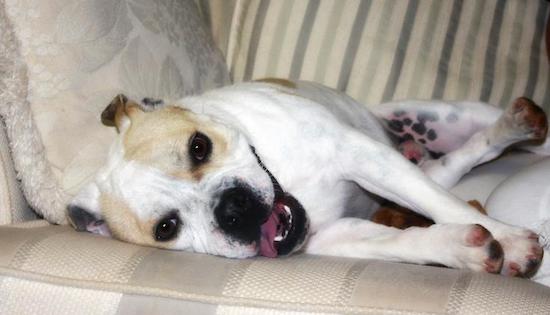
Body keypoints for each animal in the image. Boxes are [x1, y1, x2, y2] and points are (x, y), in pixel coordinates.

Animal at [68, 79, 548, 278]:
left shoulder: (365, 156)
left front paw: (510, 240)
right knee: (456, 162)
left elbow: (440, 205)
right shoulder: (337, 235)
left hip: (448, 117)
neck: (282, 173)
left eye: (199, 147)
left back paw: (517, 126)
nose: (231, 209)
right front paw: (459, 248)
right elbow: (406, 242)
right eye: (167, 228)